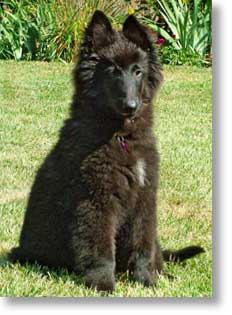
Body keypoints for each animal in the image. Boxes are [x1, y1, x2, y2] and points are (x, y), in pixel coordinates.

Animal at [8, 11, 203, 292]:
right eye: (112, 72)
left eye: (138, 71)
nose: (130, 106)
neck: (121, 136)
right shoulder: (95, 200)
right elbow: (101, 250)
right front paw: (103, 286)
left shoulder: (144, 199)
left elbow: (143, 245)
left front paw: (147, 282)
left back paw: (164, 275)